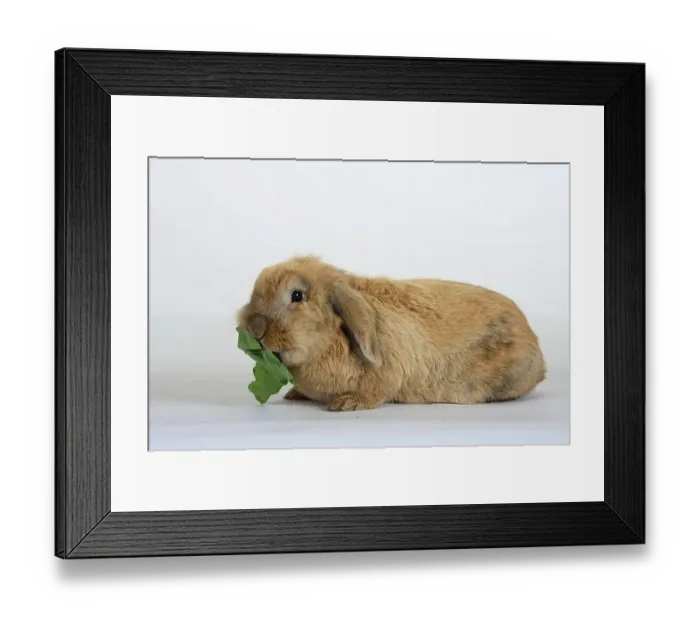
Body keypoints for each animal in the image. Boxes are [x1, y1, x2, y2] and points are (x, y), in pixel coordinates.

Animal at [237, 256, 546, 411]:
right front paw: (295, 394)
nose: (255, 328)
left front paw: (347, 404)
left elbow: (378, 392)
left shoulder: (389, 376)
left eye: (297, 295)